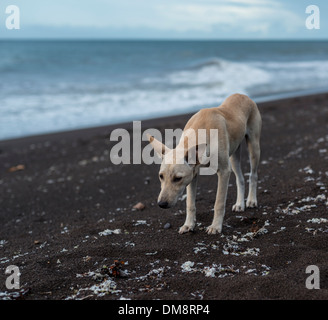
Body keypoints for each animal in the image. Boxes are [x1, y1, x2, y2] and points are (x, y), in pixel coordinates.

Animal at [147, 94, 262, 234]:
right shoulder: (193, 175)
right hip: (234, 155)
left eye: (178, 178)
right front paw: (188, 225)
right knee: (240, 178)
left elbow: (219, 202)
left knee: (253, 175)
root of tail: (242, 95)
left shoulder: (224, 171)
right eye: (161, 176)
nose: (162, 204)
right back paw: (240, 203)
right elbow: (190, 203)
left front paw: (215, 226)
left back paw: (251, 200)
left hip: (254, 146)